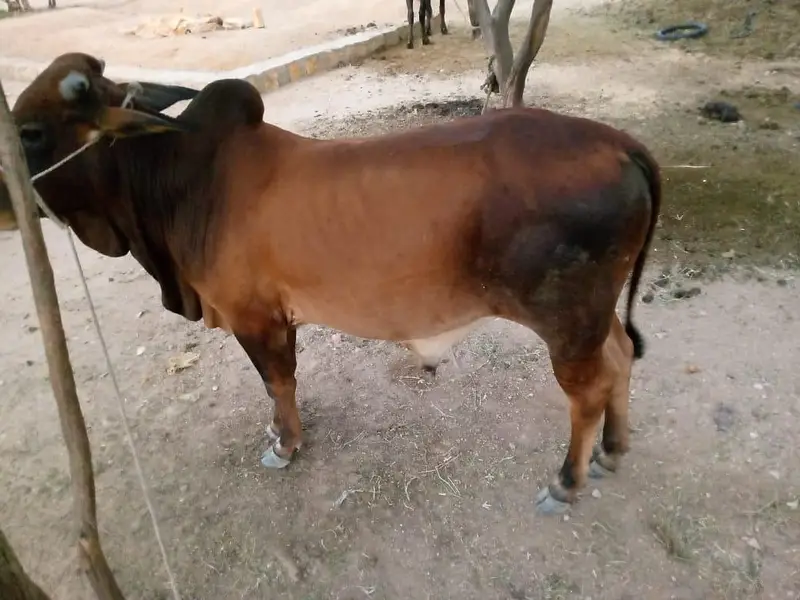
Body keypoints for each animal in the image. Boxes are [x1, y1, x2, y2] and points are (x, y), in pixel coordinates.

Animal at [0, 52, 661, 514]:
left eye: (28, 132)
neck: (184, 184)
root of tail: (618, 143)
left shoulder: (254, 317)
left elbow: (277, 382)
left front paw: (285, 445)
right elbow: (280, 386)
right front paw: (281, 433)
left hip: (566, 321)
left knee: (588, 392)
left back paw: (567, 480)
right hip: (593, 315)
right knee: (620, 357)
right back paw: (613, 451)